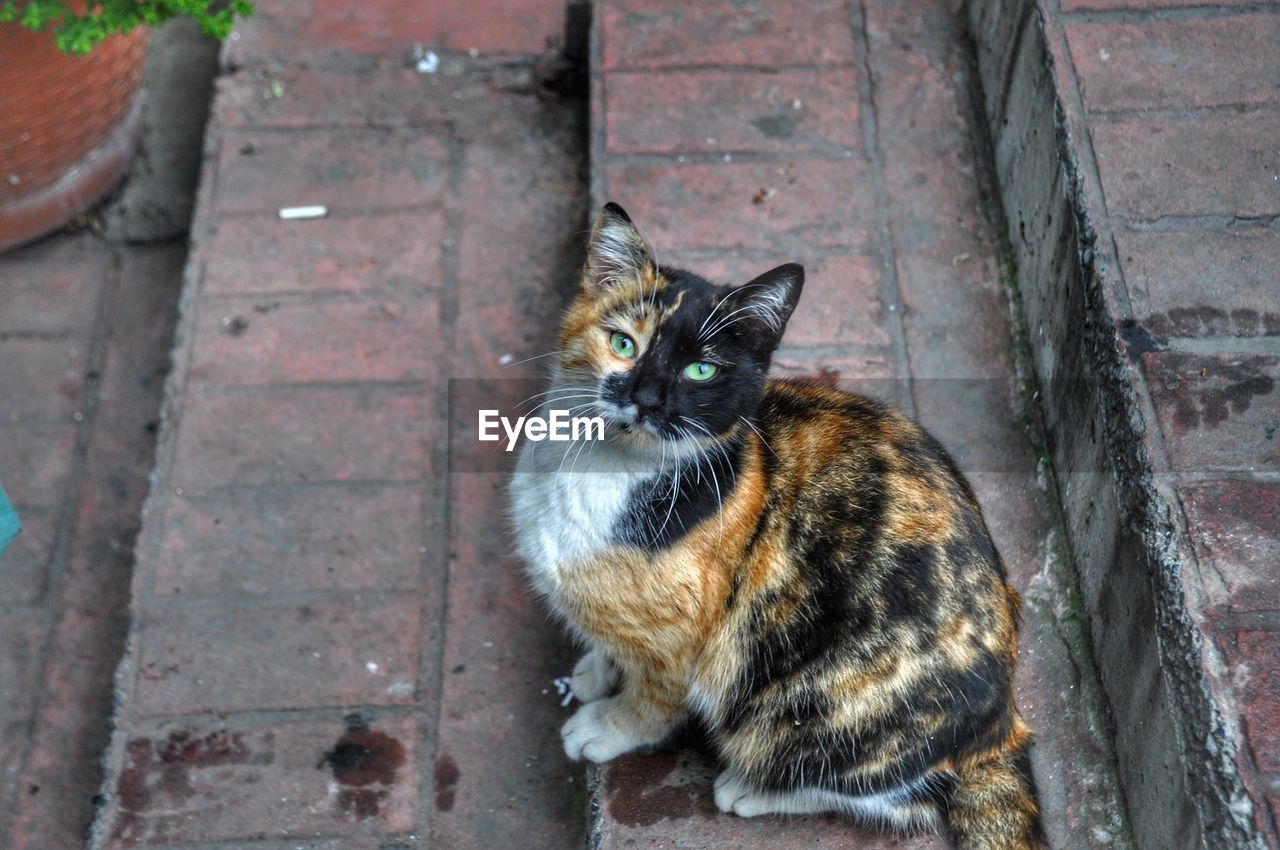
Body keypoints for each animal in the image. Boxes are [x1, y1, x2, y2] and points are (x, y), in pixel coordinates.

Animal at [509, 202, 1049, 844]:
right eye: (623, 343)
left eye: (700, 370)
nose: (646, 398)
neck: (604, 470)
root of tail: (1003, 727)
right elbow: (610, 639)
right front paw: (596, 668)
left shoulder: (681, 641)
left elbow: (653, 700)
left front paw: (605, 724)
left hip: (815, 706)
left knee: (900, 801)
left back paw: (747, 789)